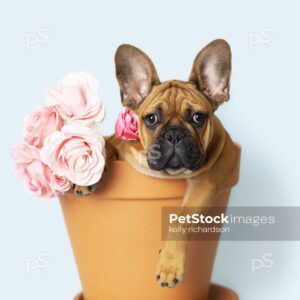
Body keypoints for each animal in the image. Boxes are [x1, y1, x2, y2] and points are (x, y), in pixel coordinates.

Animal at [74, 38, 239, 288]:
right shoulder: (119, 143)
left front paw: (170, 264)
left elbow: (181, 219)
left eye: (198, 118)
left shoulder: (206, 181)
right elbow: (106, 147)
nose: (174, 134)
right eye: (151, 119)